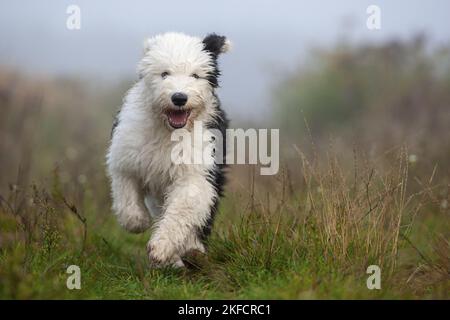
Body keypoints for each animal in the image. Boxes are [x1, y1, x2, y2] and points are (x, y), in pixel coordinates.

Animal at [107, 32, 230, 268]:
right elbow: (126, 196)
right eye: (164, 73)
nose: (179, 97)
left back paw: (192, 251)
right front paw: (138, 221)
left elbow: (183, 209)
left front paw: (161, 248)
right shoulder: (125, 158)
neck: (169, 132)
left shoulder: (197, 172)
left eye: (195, 75)